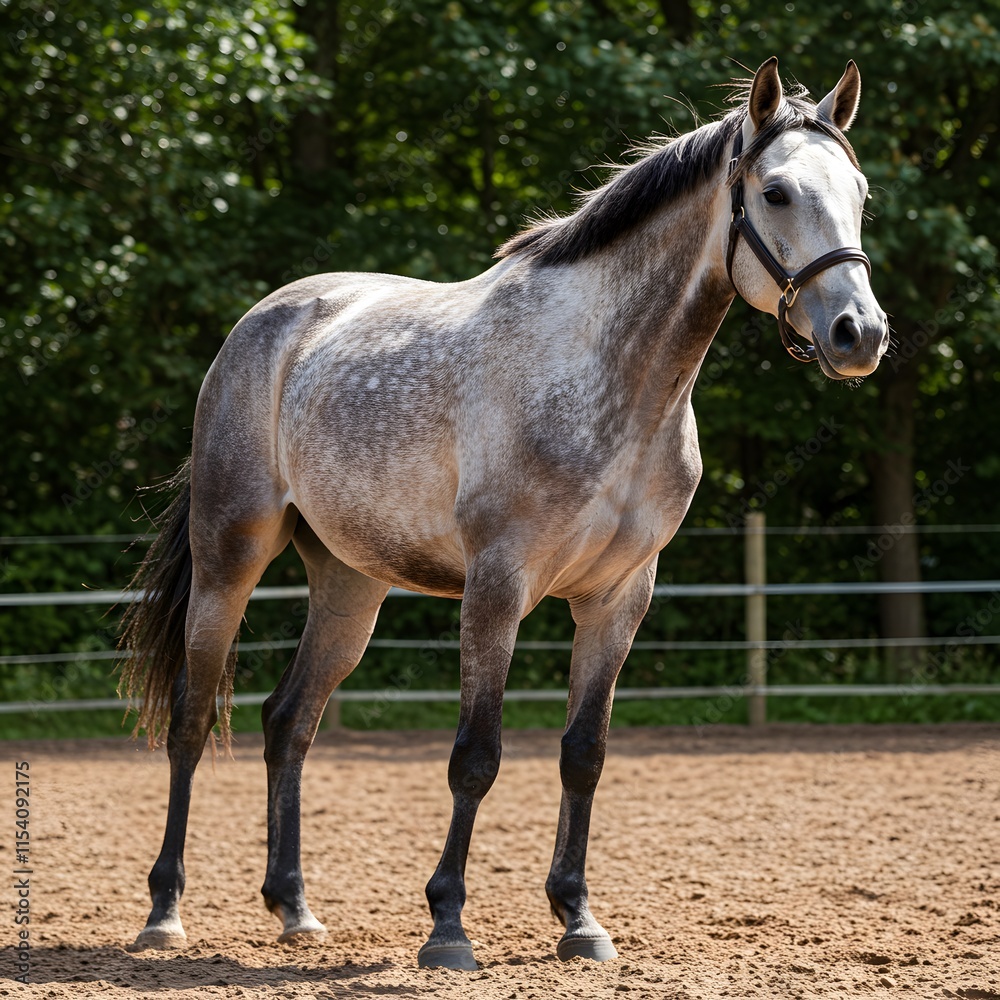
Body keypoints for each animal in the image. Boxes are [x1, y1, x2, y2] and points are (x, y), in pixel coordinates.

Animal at [119, 57, 888, 969]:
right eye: (775, 192)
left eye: (859, 191)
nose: (859, 333)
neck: (611, 382)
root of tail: (266, 322)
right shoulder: (497, 586)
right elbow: (476, 757)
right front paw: (447, 926)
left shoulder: (619, 597)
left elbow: (583, 755)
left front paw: (579, 919)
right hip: (228, 557)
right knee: (192, 720)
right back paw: (165, 912)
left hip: (349, 585)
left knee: (289, 722)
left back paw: (295, 908)